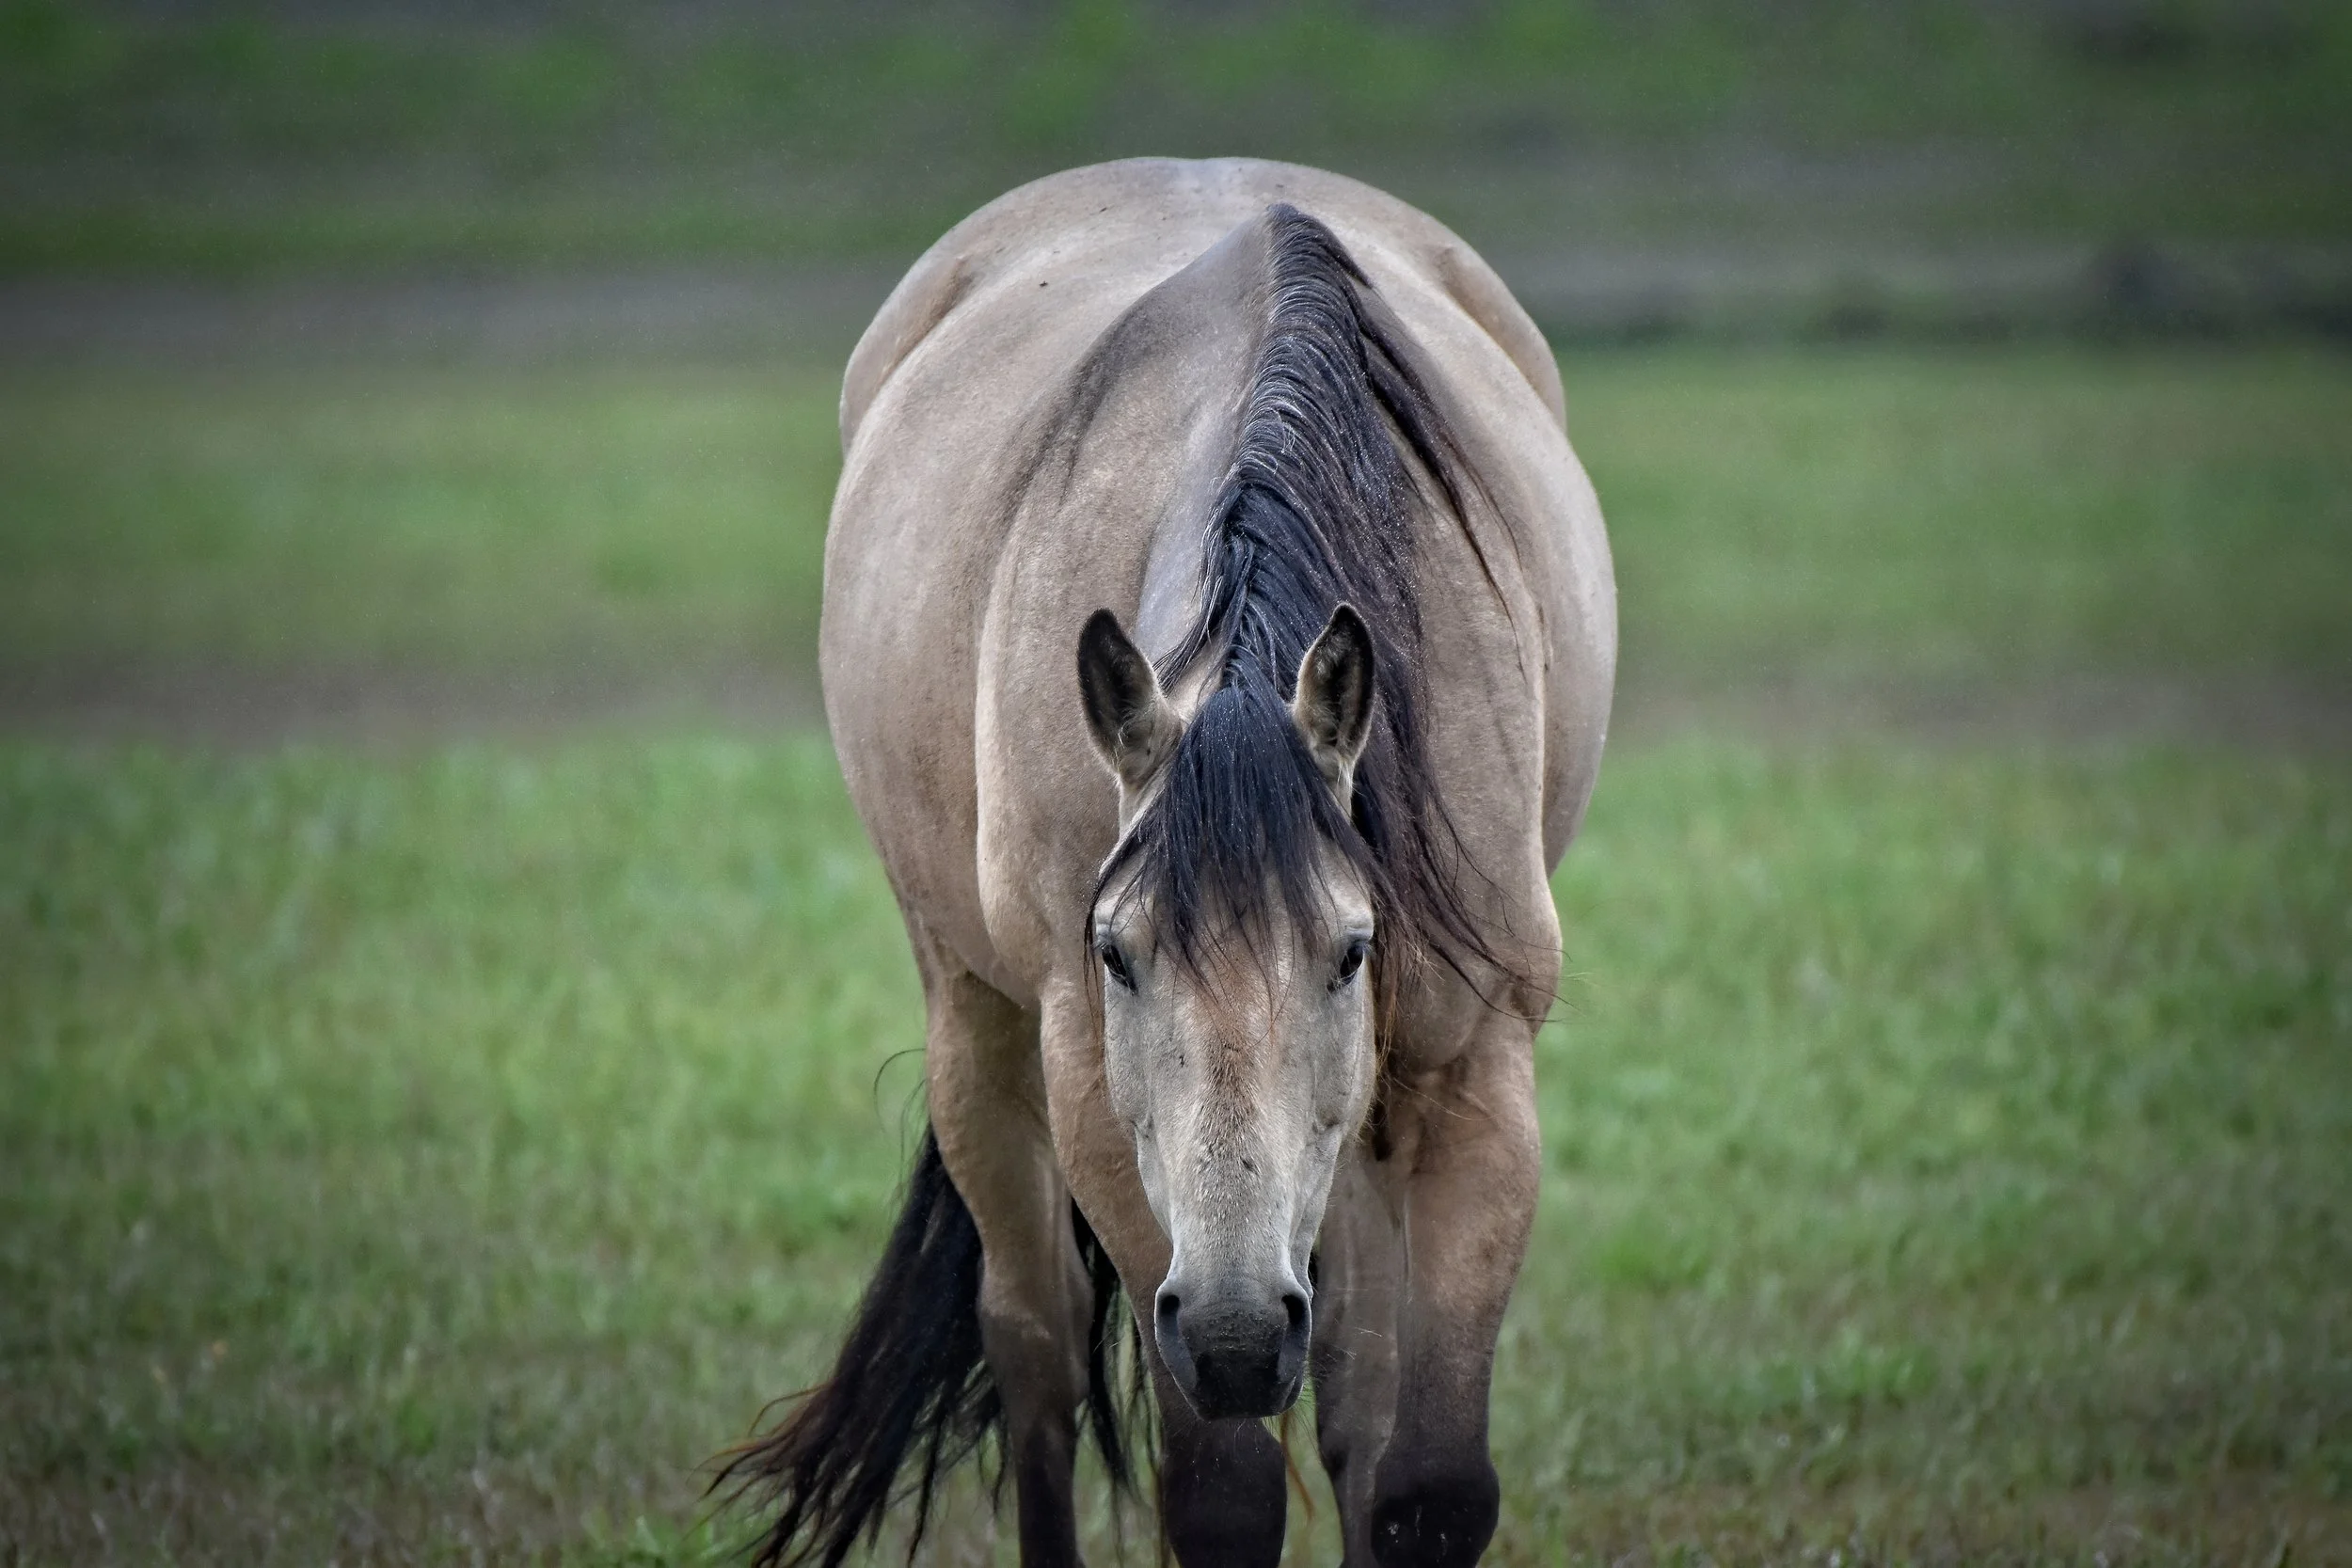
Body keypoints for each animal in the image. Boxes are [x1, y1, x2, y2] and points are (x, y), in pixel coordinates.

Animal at [721, 158, 1615, 1567]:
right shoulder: (1097, 1092)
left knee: (1348, 1395)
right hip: (974, 1028)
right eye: (1116, 953)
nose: (1242, 1335)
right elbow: (1219, 1491)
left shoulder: (1473, 1068)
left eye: (1352, 948)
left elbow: (1424, 1480)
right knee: (1034, 1357)